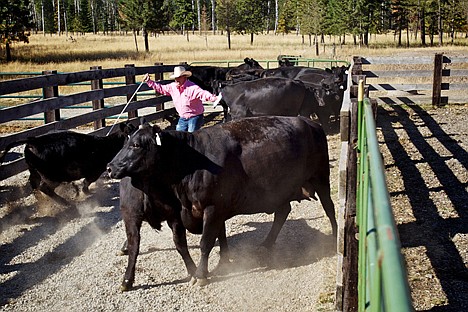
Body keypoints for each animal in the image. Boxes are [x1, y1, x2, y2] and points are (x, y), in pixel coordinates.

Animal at [0, 123, 135, 211]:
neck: (106, 145)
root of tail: (33, 141)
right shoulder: (95, 171)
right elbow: (87, 182)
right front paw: (86, 192)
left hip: (34, 171)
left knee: (33, 184)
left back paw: (42, 202)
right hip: (53, 177)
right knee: (44, 188)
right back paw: (66, 203)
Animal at [107, 117, 336, 290]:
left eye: (136, 144)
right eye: (124, 143)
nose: (110, 167)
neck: (190, 162)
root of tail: (310, 123)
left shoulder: (213, 208)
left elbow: (206, 243)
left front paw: (201, 275)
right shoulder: (183, 213)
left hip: (321, 177)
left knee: (329, 207)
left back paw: (334, 236)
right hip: (279, 191)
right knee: (283, 211)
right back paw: (266, 244)